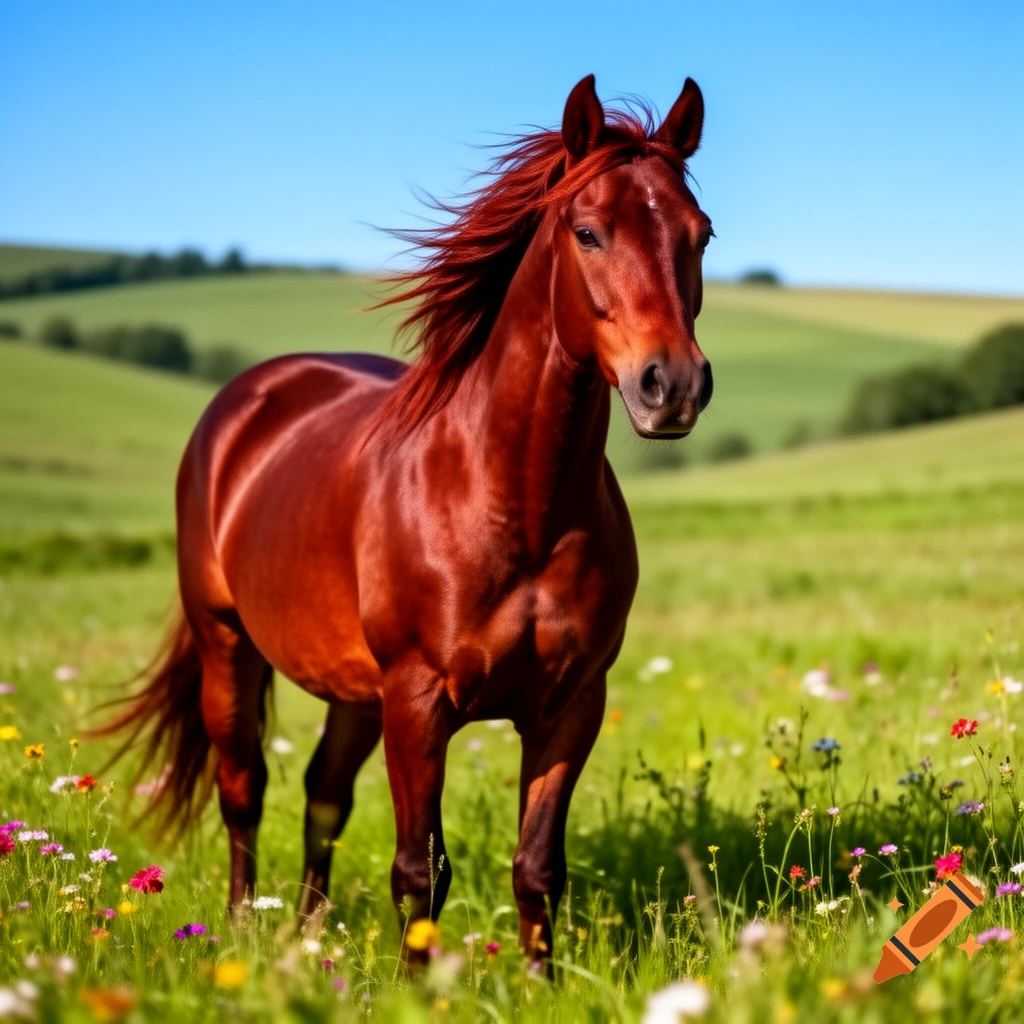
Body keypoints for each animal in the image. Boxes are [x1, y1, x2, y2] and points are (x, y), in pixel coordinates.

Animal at [97, 73, 714, 964]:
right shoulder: (419, 703)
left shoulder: (571, 705)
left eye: (700, 235)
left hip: (354, 690)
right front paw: (422, 983)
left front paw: (541, 980)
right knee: (244, 788)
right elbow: (420, 871)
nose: (673, 386)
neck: (514, 501)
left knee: (323, 793)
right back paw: (243, 932)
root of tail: (246, 402)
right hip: (228, 644)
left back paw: (307, 938)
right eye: (588, 232)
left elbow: (537, 868)